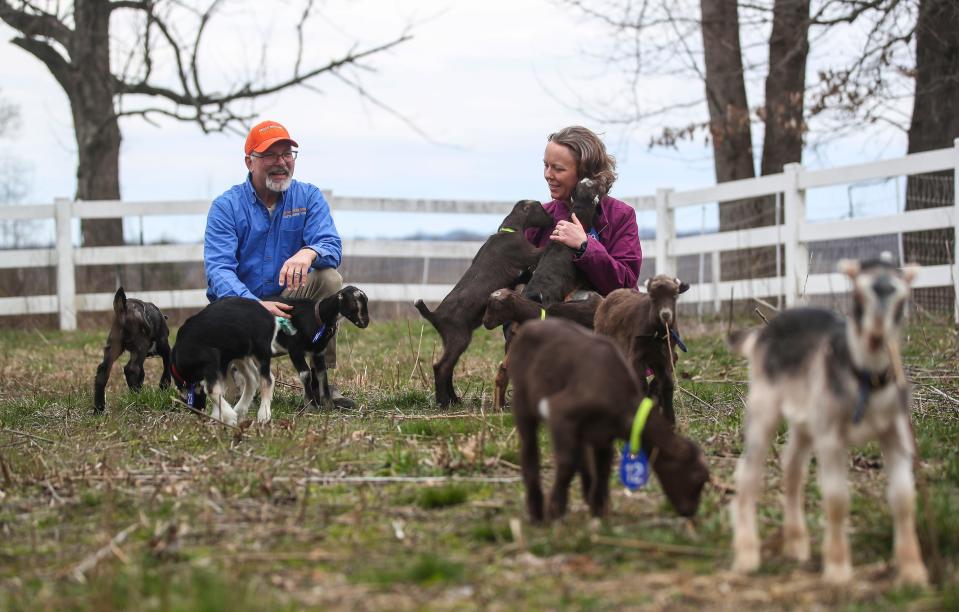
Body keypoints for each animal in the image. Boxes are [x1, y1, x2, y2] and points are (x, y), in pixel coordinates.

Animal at [414, 198, 556, 406]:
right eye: (542, 210)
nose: (552, 219)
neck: (509, 231)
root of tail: (434, 315)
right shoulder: (528, 253)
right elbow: (545, 247)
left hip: (450, 340)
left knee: (448, 368)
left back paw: (454, 399)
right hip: (459, 338)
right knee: (441, 367)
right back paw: (443, 402)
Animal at [506, 318, 708, 524]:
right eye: (697, 478)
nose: (691, 511)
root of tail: (529, 326)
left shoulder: (603, 437)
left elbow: (602, 470)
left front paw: (599, 511)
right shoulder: (561, 413)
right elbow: (567, 462)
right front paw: (555, 509)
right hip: (523, 401)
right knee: (530, 452)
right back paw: (536, 510)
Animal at [596, 274, 688, 424]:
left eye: (675, 295)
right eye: (652, 296)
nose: (666, 315)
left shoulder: (664, 358)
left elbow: (667, 385)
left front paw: (670, 419)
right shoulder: (636, 356)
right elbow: (641, 385)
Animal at [732, 256, 928, 584]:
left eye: (903, 299)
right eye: (858, 295)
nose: (876, 336)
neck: (865, 382)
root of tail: (761, 333)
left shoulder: (896, 433)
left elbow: (904, 499)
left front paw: (913, 570)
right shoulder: (831, 437)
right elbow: (837, 499)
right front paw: (837, 570)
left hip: (806, 419)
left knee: (792, 466)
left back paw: (797, 545)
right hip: (764, 403)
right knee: (748, 472)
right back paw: (747, 556)